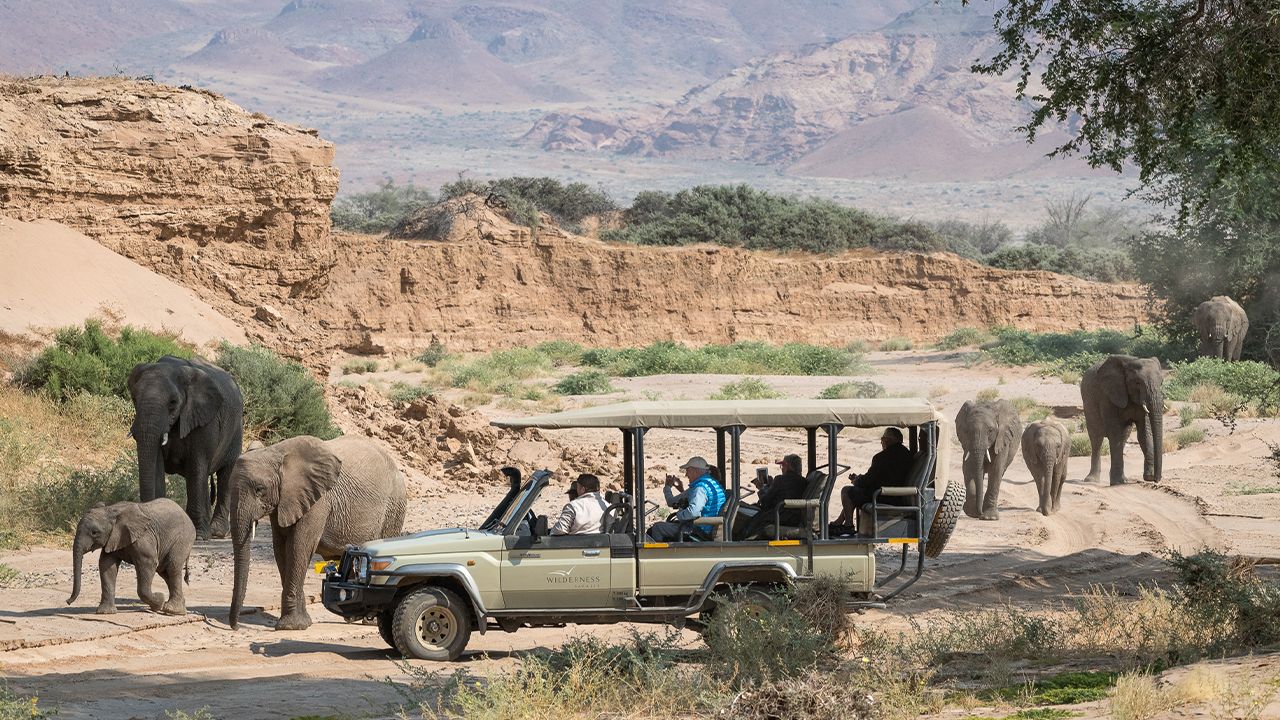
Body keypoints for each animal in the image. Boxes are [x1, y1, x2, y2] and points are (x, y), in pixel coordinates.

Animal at [66, 499, 195, 609]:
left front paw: (159, 600)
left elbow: (148, 563)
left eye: (94, 533)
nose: (67, 601)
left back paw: (172, 610)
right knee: (164, 571)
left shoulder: (143, 538)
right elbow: (107, 565)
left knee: (172, 567)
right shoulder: (113, 538)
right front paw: (105, 612)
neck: (110, 510)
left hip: (183, 539)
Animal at [128, 353, 243, 538]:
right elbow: (157, 466)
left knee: (225, 475)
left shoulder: (205, 419)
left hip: (236, 431)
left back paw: (216, 532)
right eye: (134, 399)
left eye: (173, 402)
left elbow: (197, 466)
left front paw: (199, 536)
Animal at [230, 430, 404, 627]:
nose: (235, 627)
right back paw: (352, 617)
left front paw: (290, 627)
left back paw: (370, 621)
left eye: (259, 489)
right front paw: (302, 623)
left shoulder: (318, 501)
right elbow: (281, 549)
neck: (277, 452)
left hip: (394, 505)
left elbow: (298, 546)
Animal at [1080, 351, 1162, 481]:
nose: (1157, 479)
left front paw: (1148, 477)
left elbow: (1144, 434)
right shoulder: (1107, 395)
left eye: (1161, 382)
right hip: (1088, 402)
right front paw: (1118, 482)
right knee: (1096, 437)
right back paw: (1092, 480)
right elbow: (1114, 432)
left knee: (1124, 436)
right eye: (1138, 383)